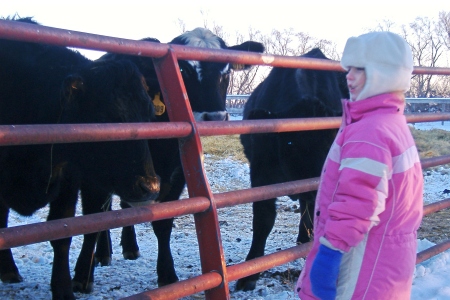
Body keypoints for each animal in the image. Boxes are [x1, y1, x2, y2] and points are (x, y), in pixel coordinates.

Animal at [0, 17, 159, 298]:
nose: (149, 186)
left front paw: (65, 288)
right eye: (107, 118)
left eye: (149, 116)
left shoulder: (68, 179)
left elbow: (63, 232)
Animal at [80, 27, 264, 290]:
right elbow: (93, 219)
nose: (215, 116)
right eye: (183, 70)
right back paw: (103, 253)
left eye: (226, 71)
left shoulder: (177, 175)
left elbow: (163, 223)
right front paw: (84, 275)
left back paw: (130, 247)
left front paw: (167, 274)